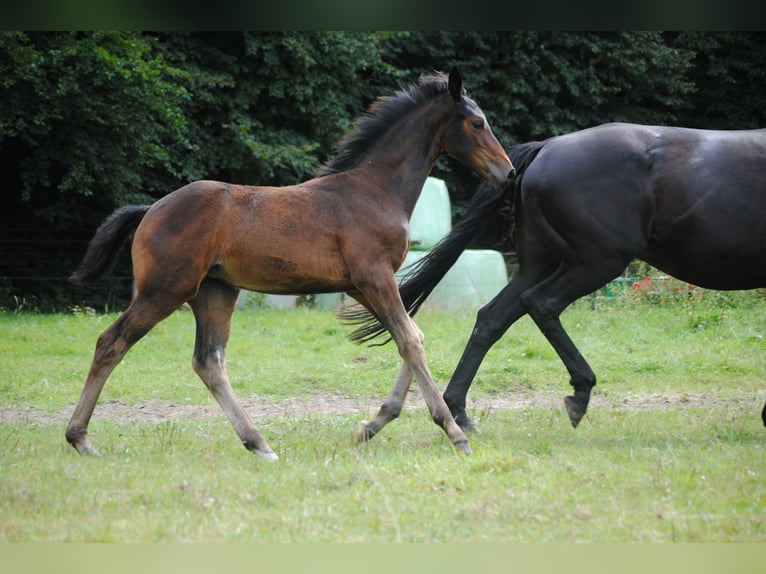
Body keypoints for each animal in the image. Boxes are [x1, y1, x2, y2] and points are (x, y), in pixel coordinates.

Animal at [64, 68, 510, 464]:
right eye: (477, 123)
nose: (507, 172)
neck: (373, 190)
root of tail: (150, 210)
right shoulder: (374, 277)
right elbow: (410, 340)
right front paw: (453, 432)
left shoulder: (362, 285)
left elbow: (409, 337)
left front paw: (374, 423)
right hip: (165, 290)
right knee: (111, 342)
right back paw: (80, 439)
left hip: (215, 292)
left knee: (208, 361)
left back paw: (259, 444)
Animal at [348, 124, 766, 434]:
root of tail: (547, 147)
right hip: (596, 261)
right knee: (542, 303)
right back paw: (579, 393)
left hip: (540, 263)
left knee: (492, 317)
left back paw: (459, 411)